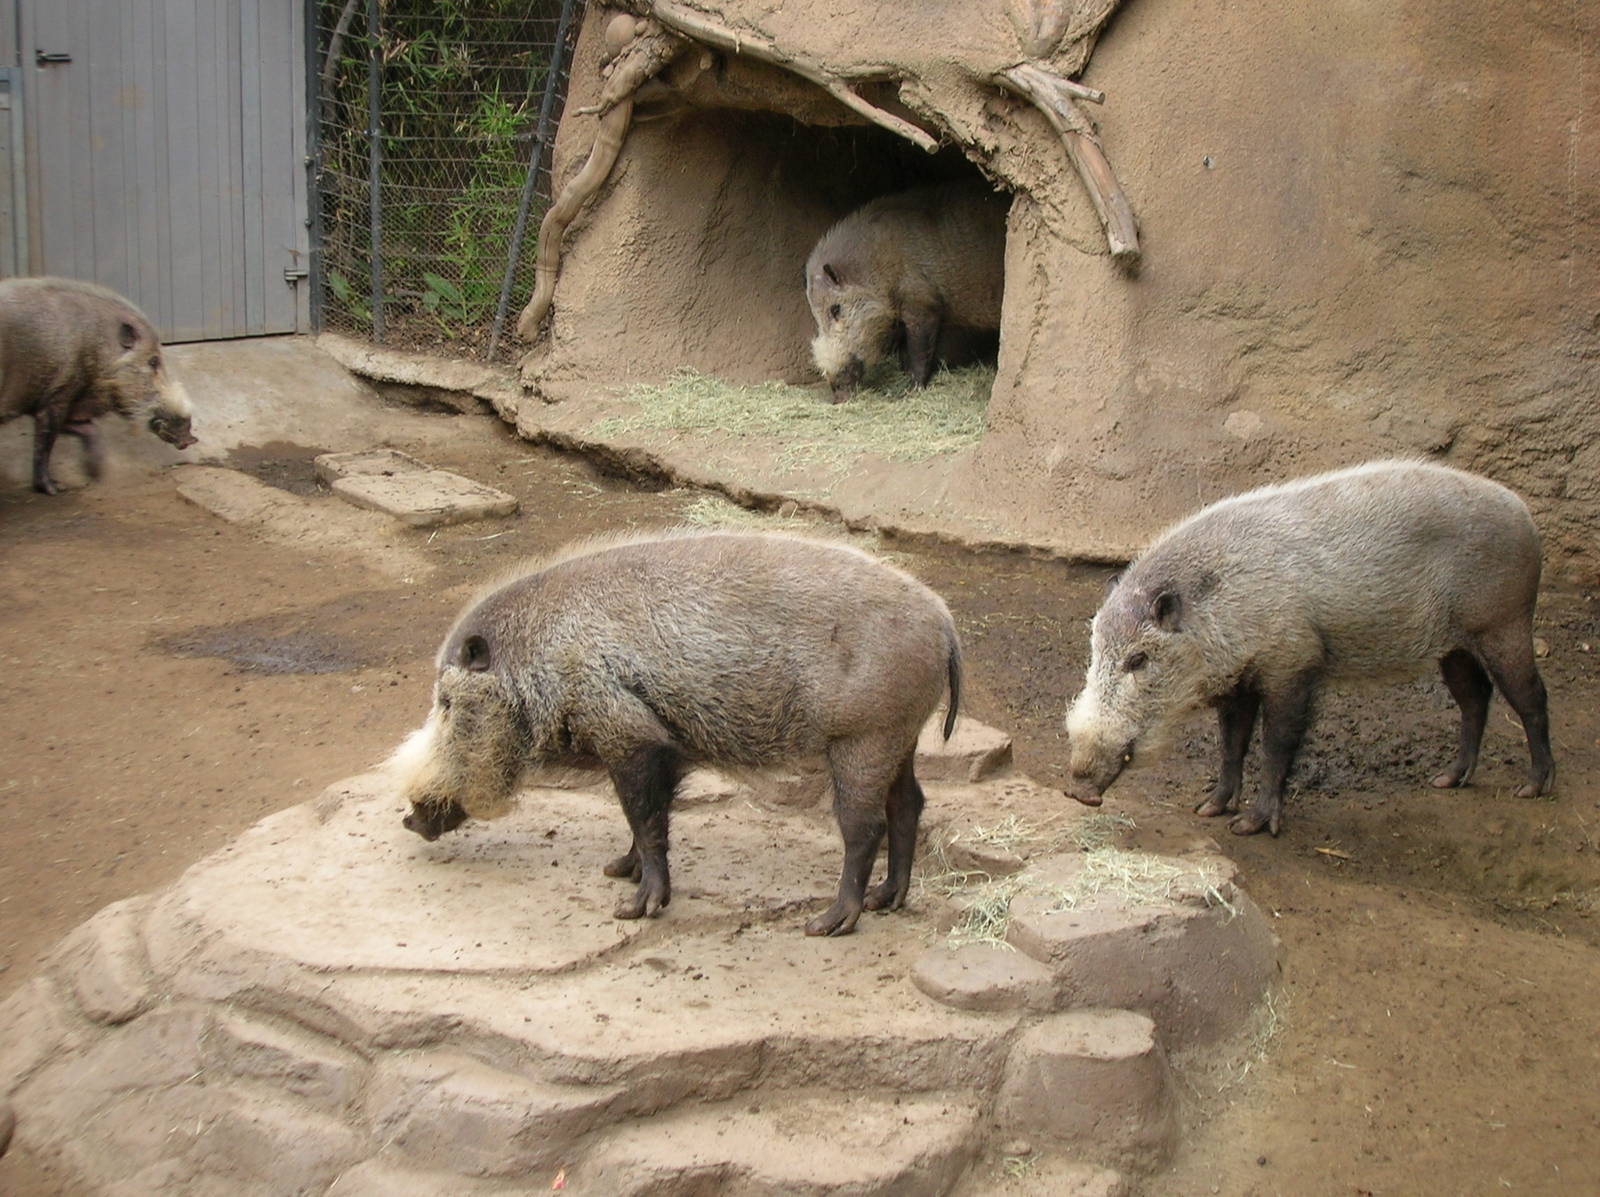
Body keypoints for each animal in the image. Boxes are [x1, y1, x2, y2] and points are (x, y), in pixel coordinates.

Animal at [0, 276, 196, 494]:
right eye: (153, 362)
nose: (191, 439)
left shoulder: (73, 403)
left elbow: (87, 428)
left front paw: (95, 474)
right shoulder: (58, 394)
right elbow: (45, 439)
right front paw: (56, 489)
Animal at [389, 530, 962, 937]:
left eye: (445, 703)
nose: (408, 818)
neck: (543, 664)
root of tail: (944, 622)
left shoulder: (628, 734)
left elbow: (644, 818)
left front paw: (632, 909)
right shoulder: (659, 745)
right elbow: (648, 817)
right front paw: (615, 870)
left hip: (864, 736)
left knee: (864, 826)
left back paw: (827, 924)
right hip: (901, 735)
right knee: (909, 803)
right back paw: (887, 901)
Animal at [804, 180, 1007, 403]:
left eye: (835, 309)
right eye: (815, 316)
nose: (838, 395)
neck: (881, 268)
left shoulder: (922, 302)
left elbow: (918, 349)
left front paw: (912, 390)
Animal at [1064, 460, 1554, 837]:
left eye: (1138, 659)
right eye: (1094, 649)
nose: (1077, 790)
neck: (1222, 606)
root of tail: (1524, 513)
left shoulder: (1293, 663)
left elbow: (1276, 745)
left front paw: (1248, 827)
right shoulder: (1240, 679)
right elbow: (1231, 744)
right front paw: (1208, 809)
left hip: (1504, 623)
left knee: (1531, 696)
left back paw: (1533, 788)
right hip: (1453, 647)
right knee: (1475, 697)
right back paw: (1446, 780)